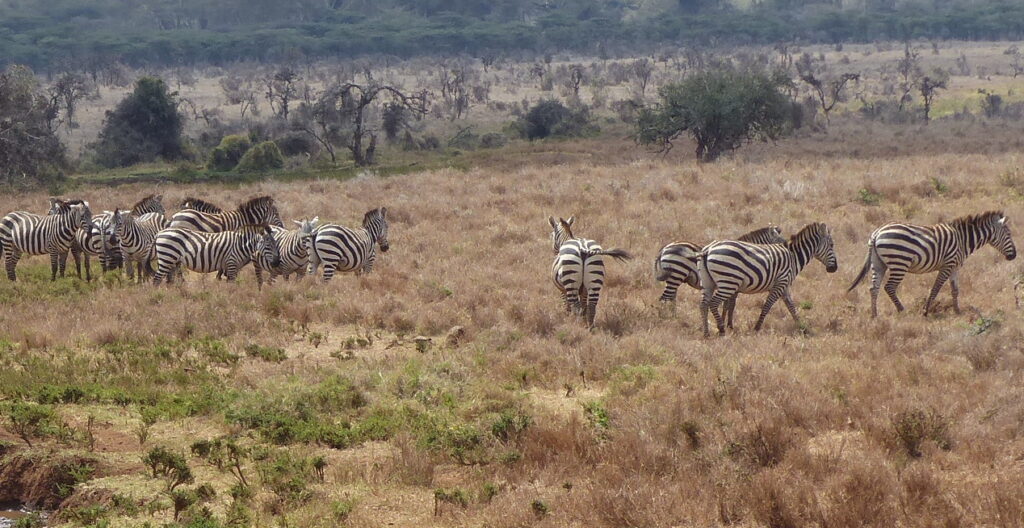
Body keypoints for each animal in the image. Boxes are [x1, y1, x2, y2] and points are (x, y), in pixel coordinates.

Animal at [151, 225, 281, 287]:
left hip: (173, 261)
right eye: (268, 245)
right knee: (157, 279)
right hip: (167, 257)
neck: (240, 245)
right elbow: (232, 285)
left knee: (169, 280)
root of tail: (160, 233)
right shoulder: (231, 263)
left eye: (276, 244)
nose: (277, 262)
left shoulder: (231, 267)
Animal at [655, 225, 786, 328]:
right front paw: (728, 325)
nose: (786, 247)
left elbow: (727, 305)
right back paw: (662, 318)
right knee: (665, 297)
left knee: (671, 297)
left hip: (675, 278)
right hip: (677, 274)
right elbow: (730, 306)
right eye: (780, 241)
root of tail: (665, 248)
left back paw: (673, 317)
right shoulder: (733, 285)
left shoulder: (732, 286)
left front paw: (724, 322)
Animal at [698, 222, 837, 337]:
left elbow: (792, 307)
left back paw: (706, 333)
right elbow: (767, 306)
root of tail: (708, 250)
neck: (794, 257)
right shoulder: (780, 284)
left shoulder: (784, 286)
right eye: (831, 245)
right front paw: (757, 328)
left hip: (708, 283)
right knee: (713, 303)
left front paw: (804, 328)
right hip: (728, 282)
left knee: (703, 304)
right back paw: (721, 329)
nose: (834, 268)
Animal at [848, 212, 1016, 318]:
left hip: (878, 263)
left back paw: (874, 315)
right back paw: (902, 310)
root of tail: (876, 233)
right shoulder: (947, 265)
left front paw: (957, 311)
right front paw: (925, 311)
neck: (963, 240)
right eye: (1009, 234)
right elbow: (936, 288)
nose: (1013, 256)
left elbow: (955, 290)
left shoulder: (955, 267)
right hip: (899, 262)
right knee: (889, 287)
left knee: (873, 288)